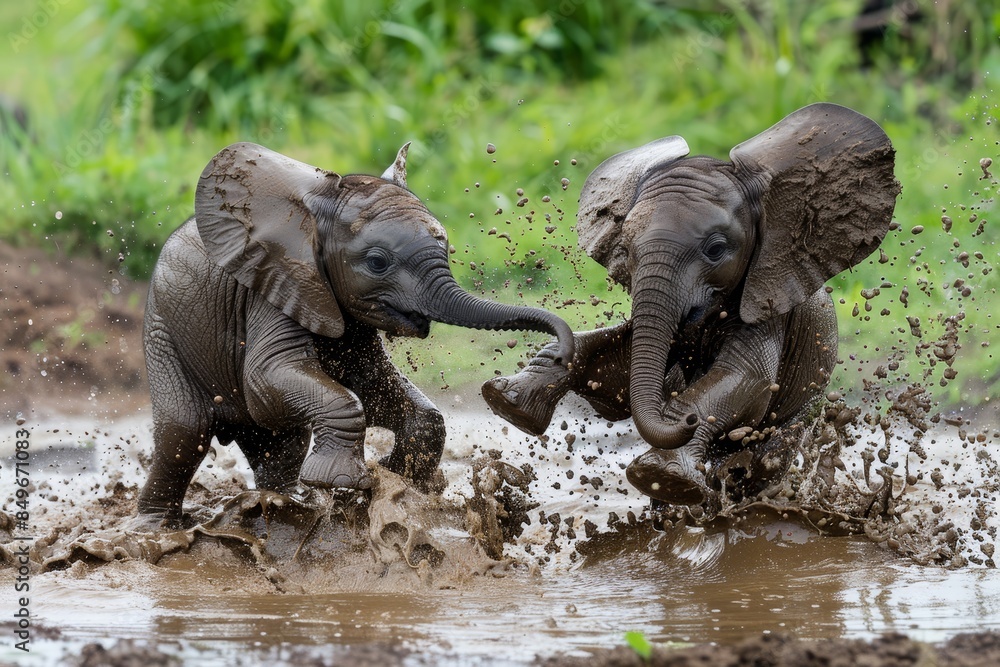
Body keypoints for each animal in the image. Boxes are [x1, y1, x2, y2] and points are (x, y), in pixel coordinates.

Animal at [138, 142, 574, 525]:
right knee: (184, 431)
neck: (316, 213)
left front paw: (398, 474)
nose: (560, 356)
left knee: (280, 442)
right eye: (378, 262)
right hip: (162, 331)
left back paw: (282, 502)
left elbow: (377, 385)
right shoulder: (275, 285)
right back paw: (156, 529)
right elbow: (267, 380)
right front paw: (342, 482)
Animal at [483, 103, 900, 506]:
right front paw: (507, 401)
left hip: (803, 409)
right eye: (625, 248)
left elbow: (745, 377)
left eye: (715, 249)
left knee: (764, 462)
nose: (686, 423)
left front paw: (663, 475)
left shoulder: (769, 303)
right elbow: (618, 363)